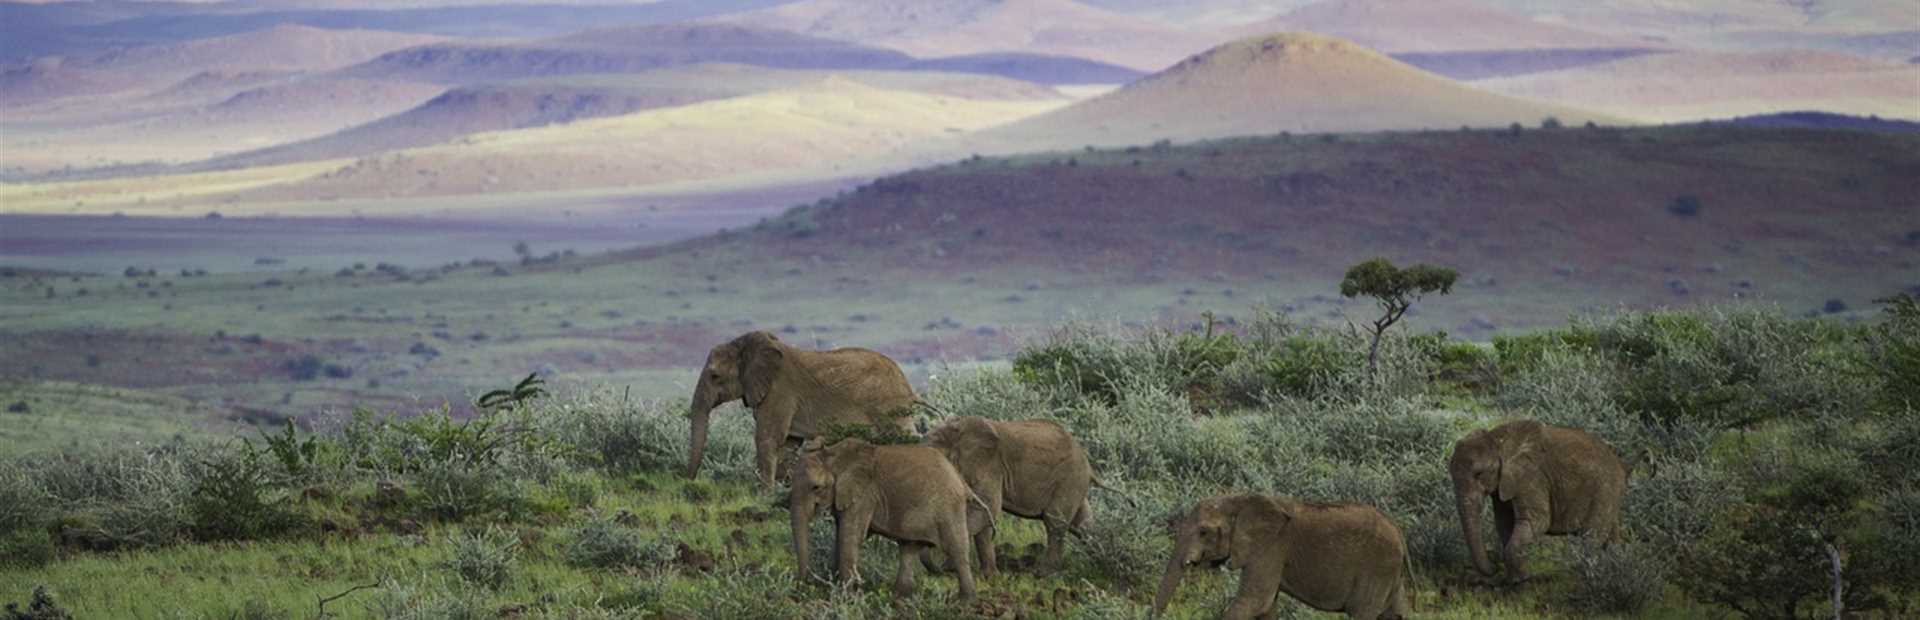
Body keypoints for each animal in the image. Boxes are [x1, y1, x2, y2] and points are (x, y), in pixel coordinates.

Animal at [687, 332, 917, 487]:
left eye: (715, 376)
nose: (689, 481)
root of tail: (904, 380)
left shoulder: (780, 391)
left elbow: (768, 438)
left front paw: (764, 496)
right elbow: (788, 443)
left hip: (891, 406)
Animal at [791, 437, 983, 602]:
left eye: (816, 487)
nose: (803, 587)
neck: (833, 455)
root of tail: (959, 478)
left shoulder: (864, 495)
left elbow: (851, 536)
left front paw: (846, 598)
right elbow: (841, 535)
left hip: (949, 507)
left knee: (956, 549)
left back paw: (966, 601)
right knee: (908, 547)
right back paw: (899, 598)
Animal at [925, 418, 1098, 579]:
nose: (940, 569)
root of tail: (1088, 465)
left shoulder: (990, 465)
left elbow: (987, 509)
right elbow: (983, 514)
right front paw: (986, 575)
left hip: (1070, 479)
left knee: (1055, 521)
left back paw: (1042, 574)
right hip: (1075, 483)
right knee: (1081, 524)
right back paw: (1094, 563)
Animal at [1152, 495, 1413, 620]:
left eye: (1203, 532)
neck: (1240, 499)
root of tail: (1399, 532)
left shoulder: (1271, 547)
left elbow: (1255, 601)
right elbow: (1265, 607)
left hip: (1378, 567)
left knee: (1363, 613)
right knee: (1395, 614)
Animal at [1451, 420, 1620, 587]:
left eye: (1479, 474)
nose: (1495, 565)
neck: (1497, 440)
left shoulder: (1531, 476)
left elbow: (1538, 520)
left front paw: (1521, 581)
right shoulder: (1504, 484)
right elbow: (1504, 523)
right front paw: (1515, 580)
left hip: (1605, 491)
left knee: (1591, 538)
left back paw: (1589, 579)